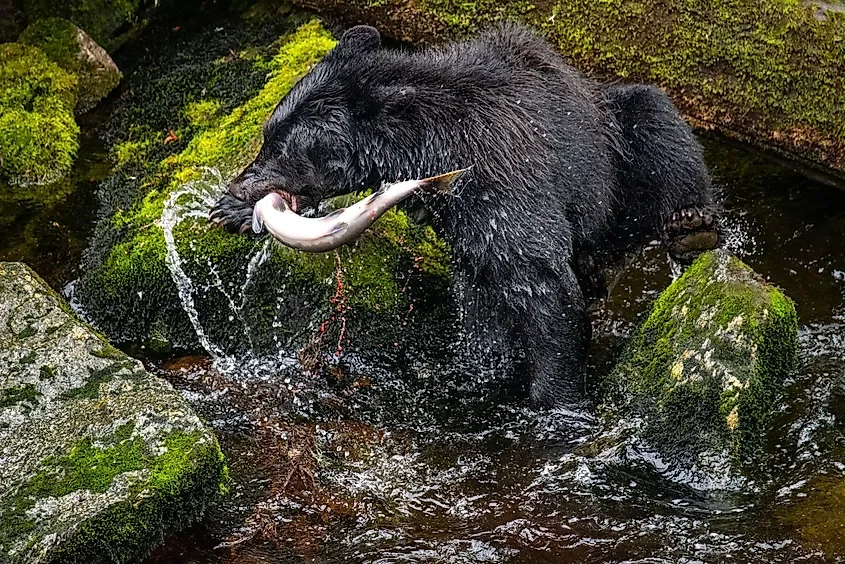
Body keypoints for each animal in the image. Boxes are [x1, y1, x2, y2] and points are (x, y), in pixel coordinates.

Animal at [209, 22, 721, 409]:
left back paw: (692, 227)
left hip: (614, 152)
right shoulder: (464, 218)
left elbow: (541, 282)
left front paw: (557, 401)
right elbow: (486, 312)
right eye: (267, 135)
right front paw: (227, 212)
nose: (239, 187)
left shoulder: (499, 181)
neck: (432, 149)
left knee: (656, 120)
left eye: (284, 148)